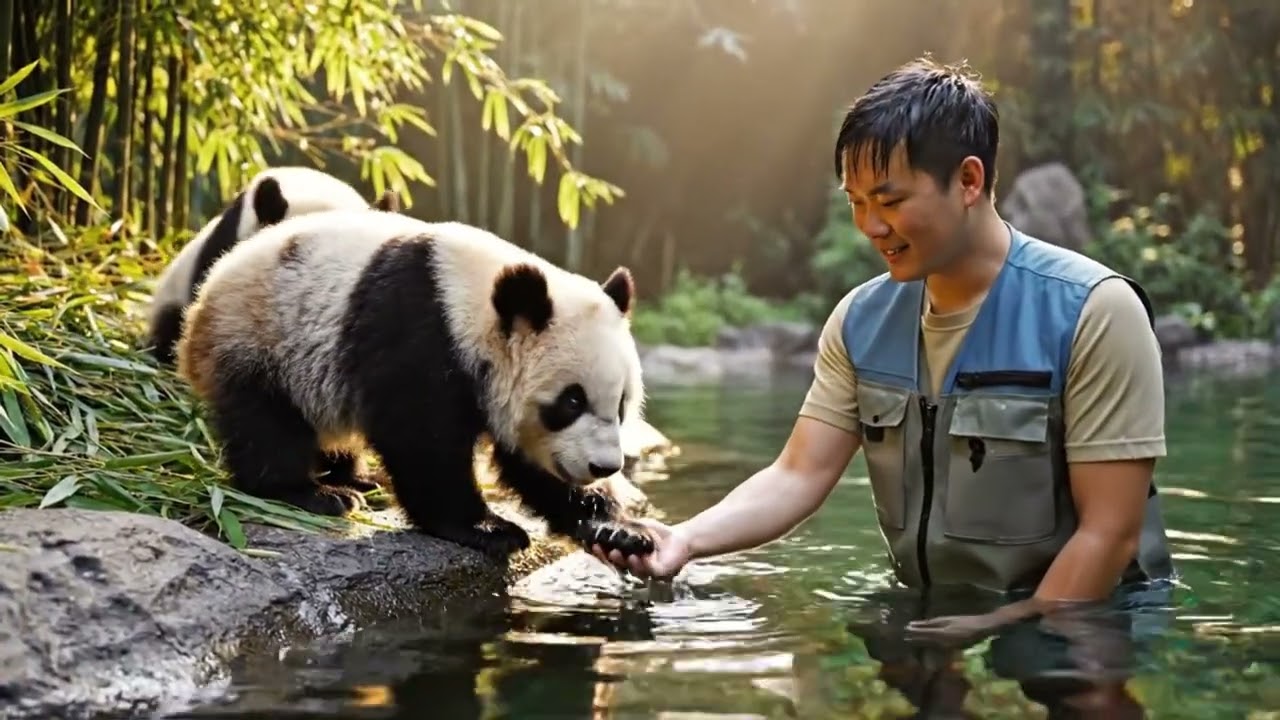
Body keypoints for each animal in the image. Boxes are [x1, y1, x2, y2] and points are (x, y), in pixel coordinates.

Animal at [174, 207, 655, 560]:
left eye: (620, 406)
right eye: (571, 402)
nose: (604, 466)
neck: (472, 303)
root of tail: (202, 299)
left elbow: (529, 464)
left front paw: (618, 529)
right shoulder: (420, 335)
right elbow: (424, 441)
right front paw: (489, 528)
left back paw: (357, 480)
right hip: (261, 341)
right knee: (267, 425)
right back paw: (313, 494)